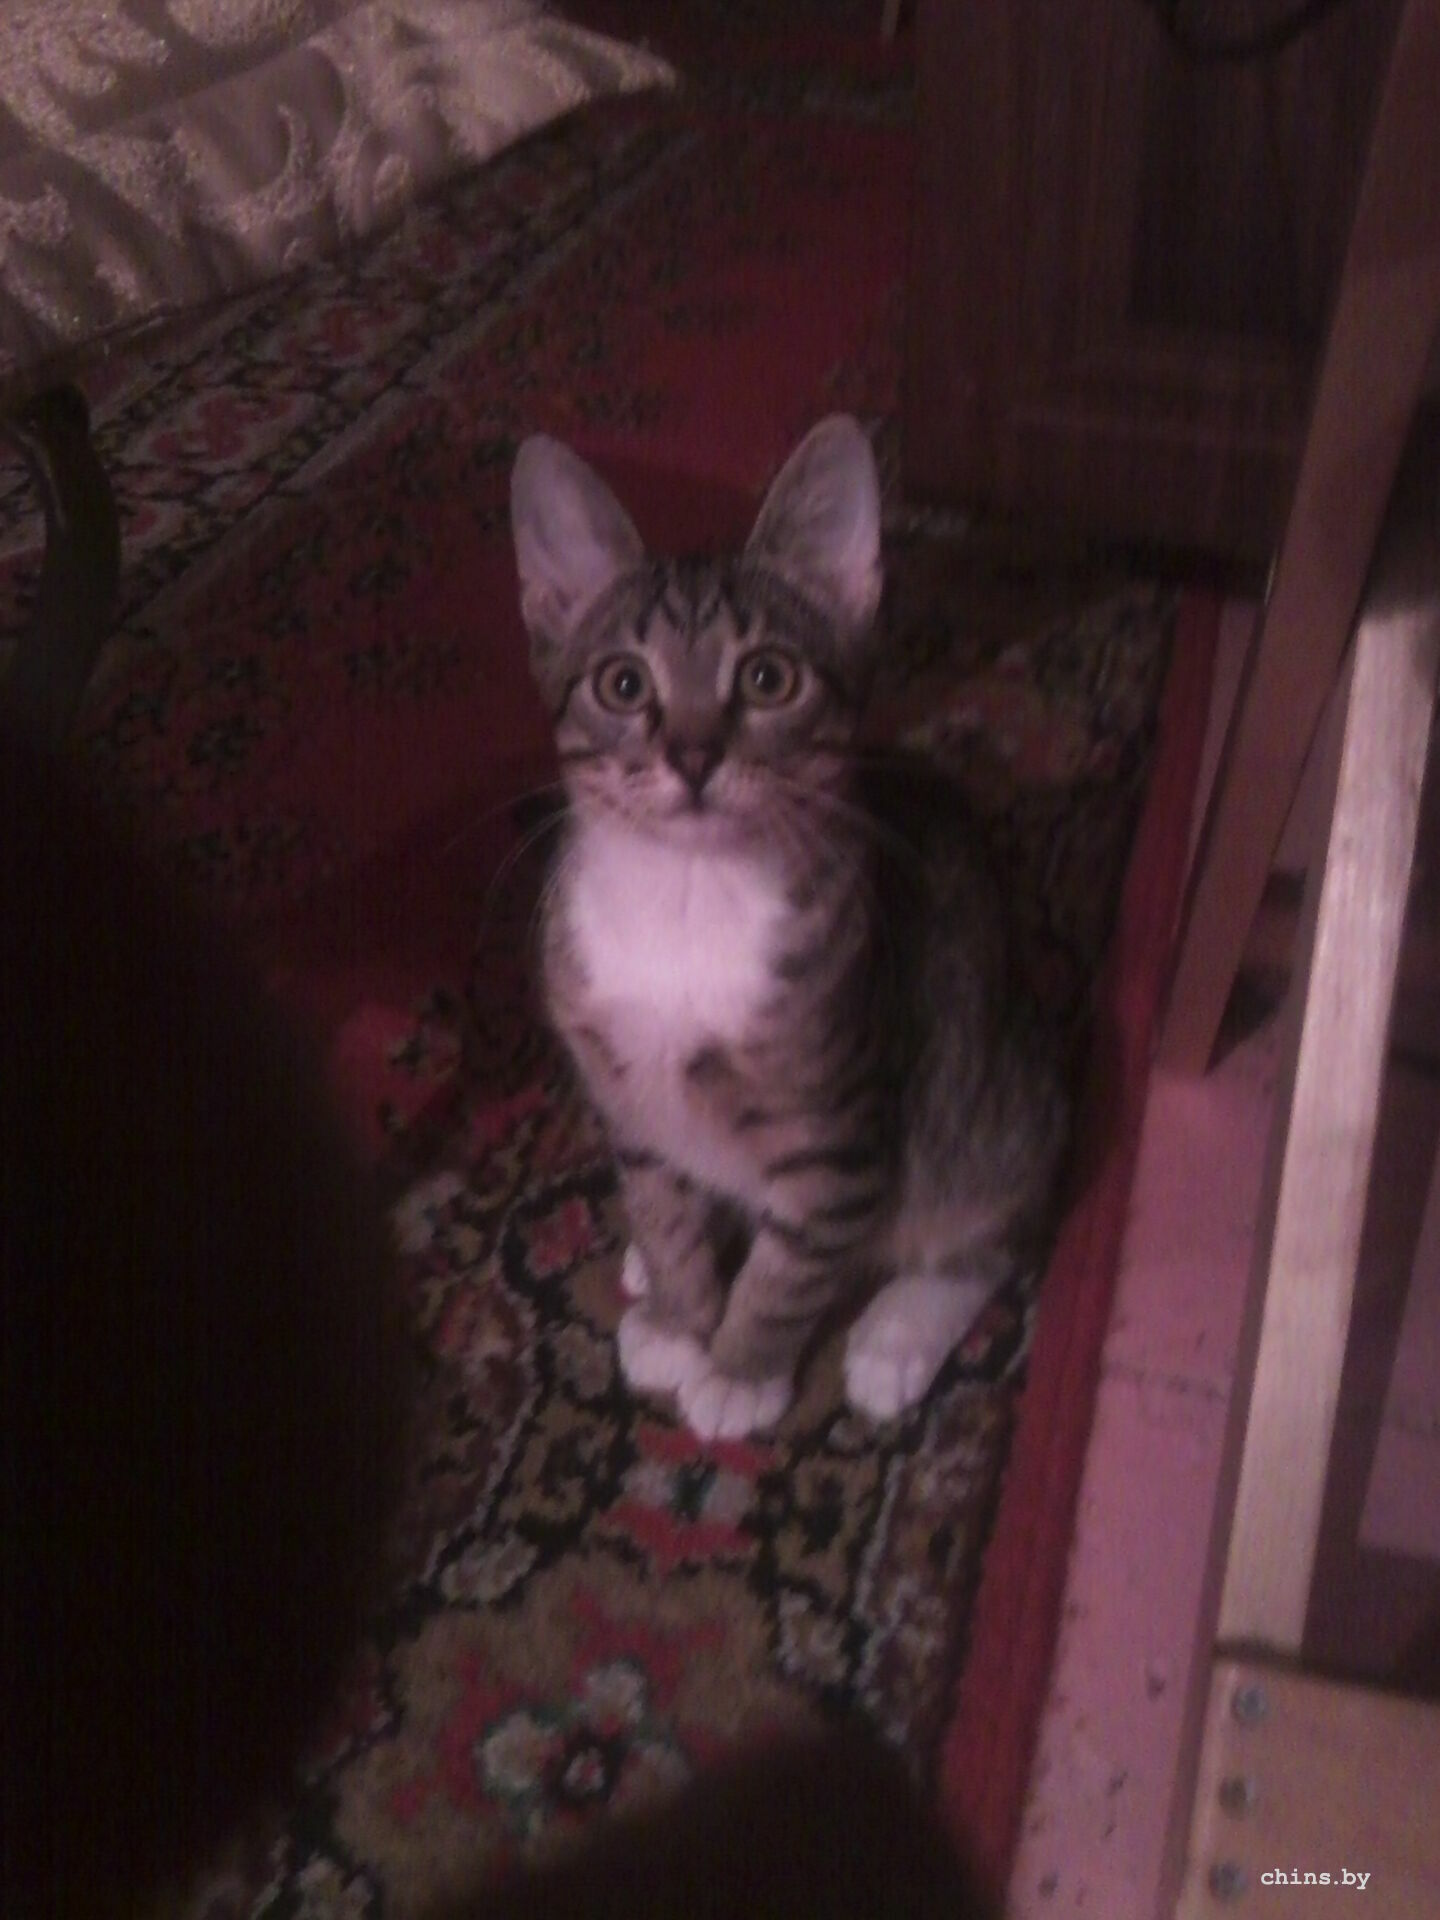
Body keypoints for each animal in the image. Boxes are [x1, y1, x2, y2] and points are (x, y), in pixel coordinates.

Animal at [510, 416, 1069, 1442]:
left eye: (768, 678)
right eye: (622, 684)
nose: (692, 755)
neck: (688, 898)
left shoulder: (836, 1129)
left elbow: (790, 1269)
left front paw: (740, 1367)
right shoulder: (623, 1091)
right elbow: (664, 1206)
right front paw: (681, 1311)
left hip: (996, 1106)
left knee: (984, 1230)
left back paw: (894, 1336)